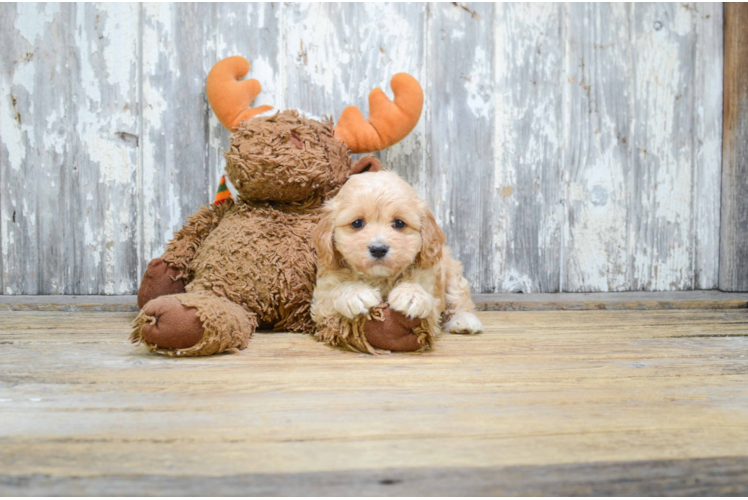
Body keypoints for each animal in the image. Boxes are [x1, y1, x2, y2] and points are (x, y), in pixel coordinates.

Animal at [312, 166, 482, 338]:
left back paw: (465, 321)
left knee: (459, 299)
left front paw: (411, 295)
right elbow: (334, 292)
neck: (379, 278)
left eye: (399, 223)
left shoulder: (431, 290)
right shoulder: (321, 300)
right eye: (357, 223)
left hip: (451, 271)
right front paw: (357, 293)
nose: (378, 249)